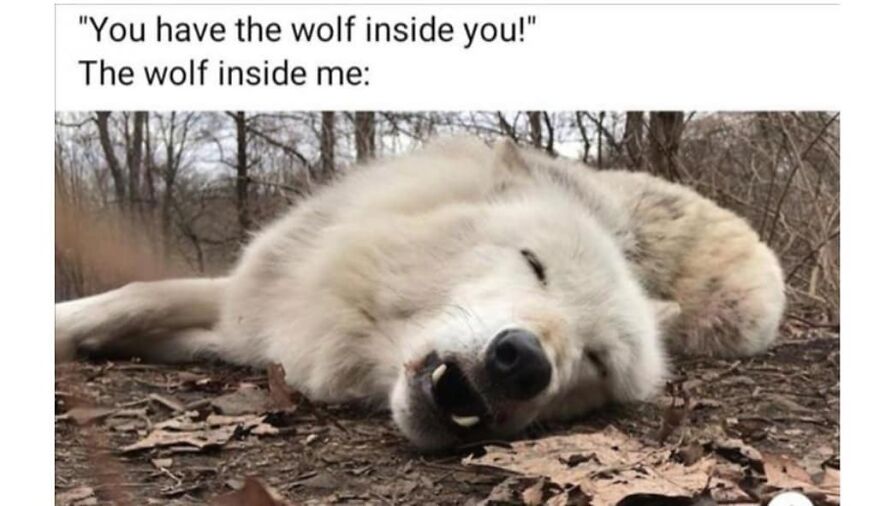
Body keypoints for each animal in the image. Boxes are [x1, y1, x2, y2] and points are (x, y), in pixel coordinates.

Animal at [55, 137, 785, 449]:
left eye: (596, 361)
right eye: (534, 264)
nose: (523, 362)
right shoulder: (256, 307)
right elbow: (138, 294)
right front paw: (70, 326)